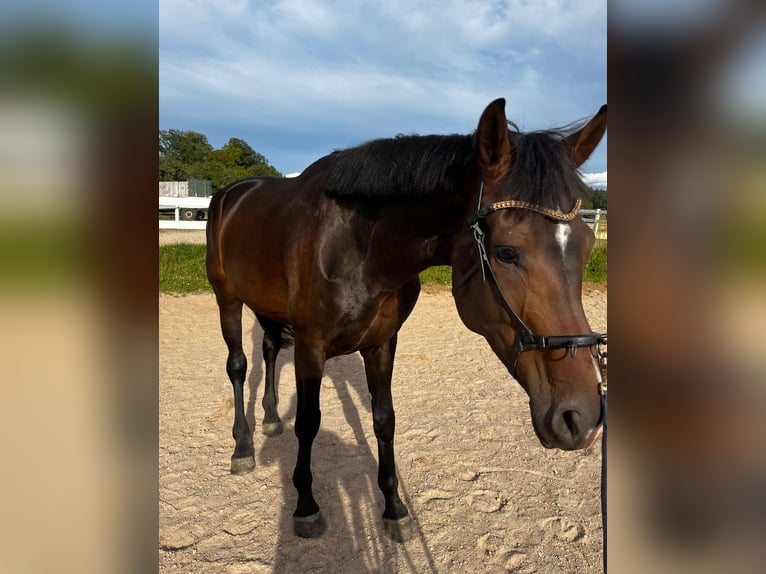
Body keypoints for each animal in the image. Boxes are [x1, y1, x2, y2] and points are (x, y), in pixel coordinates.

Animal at [207, 99, 608, 544]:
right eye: (506, 252)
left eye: (586, 247)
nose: (582, 416)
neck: (359, 246)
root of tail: (231, 192)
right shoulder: (312, 347)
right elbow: (310, 422)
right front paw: (307, 506)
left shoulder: (382, 342)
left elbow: (384, 420)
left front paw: (394, 509)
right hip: (227, 298)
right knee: (239, 365)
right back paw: (243, 447)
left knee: (270, 349)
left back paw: (272, 419)